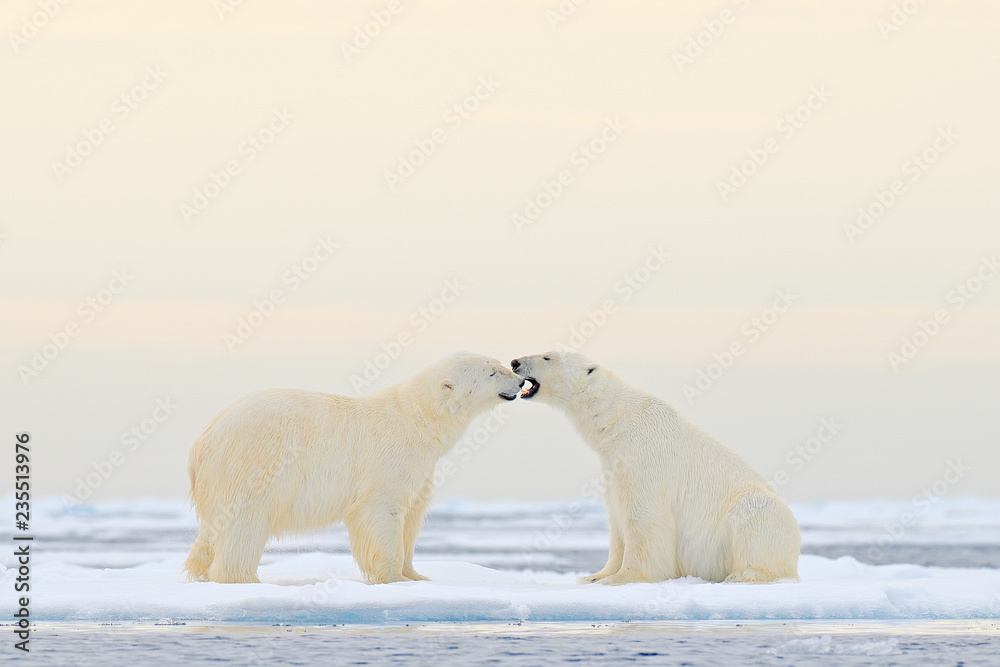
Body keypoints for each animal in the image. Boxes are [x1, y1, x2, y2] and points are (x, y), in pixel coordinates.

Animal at [184, 354, 524, 584]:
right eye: (492, 371)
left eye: (498, 363)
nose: (521, 381)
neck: (417, 419)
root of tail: (201, 442)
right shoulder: (390, 459)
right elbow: (380, 510)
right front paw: (393, 578)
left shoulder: (421, 469)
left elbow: (411, 515)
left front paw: (416, 576)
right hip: (253, 463)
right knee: (245, 524)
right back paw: (243, 579)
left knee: (213, 531)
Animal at [512, 350, 800, 584]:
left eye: (548, 357)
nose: (515, 362)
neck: (619, 422)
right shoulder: (612, 465)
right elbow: (617, 520)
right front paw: (595, 575)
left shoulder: (643, 458)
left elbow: (643, 517)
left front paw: (623, 577)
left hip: (757, 512)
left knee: (752, 517)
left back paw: (745, 574)